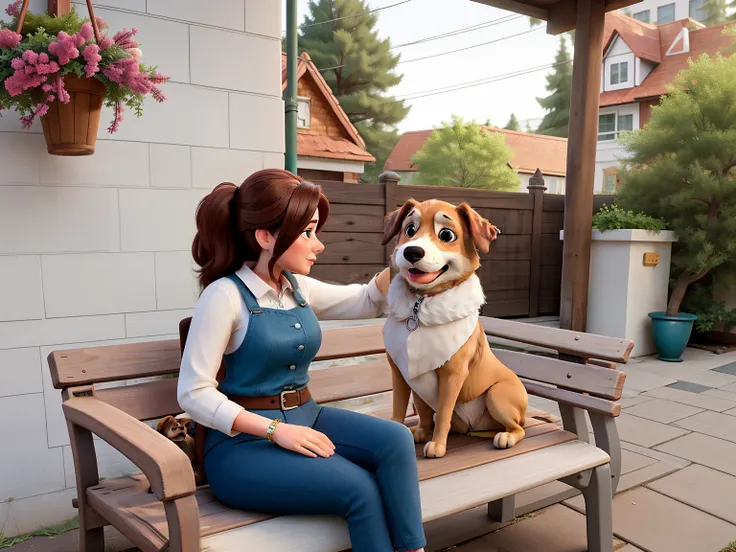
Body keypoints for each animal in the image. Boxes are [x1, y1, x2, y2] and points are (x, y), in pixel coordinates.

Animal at [382, 198, 528, 458]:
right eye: (410, 229)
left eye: (446, 235)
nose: (412, 251)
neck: (420, 307)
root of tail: (477, 427)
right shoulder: (400, 372)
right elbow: (403, 408)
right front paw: (416, 432)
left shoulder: (452, 375)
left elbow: (443, 413)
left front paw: (437, 445)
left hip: (497, 395)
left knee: (518, 427)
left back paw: (506, 436)